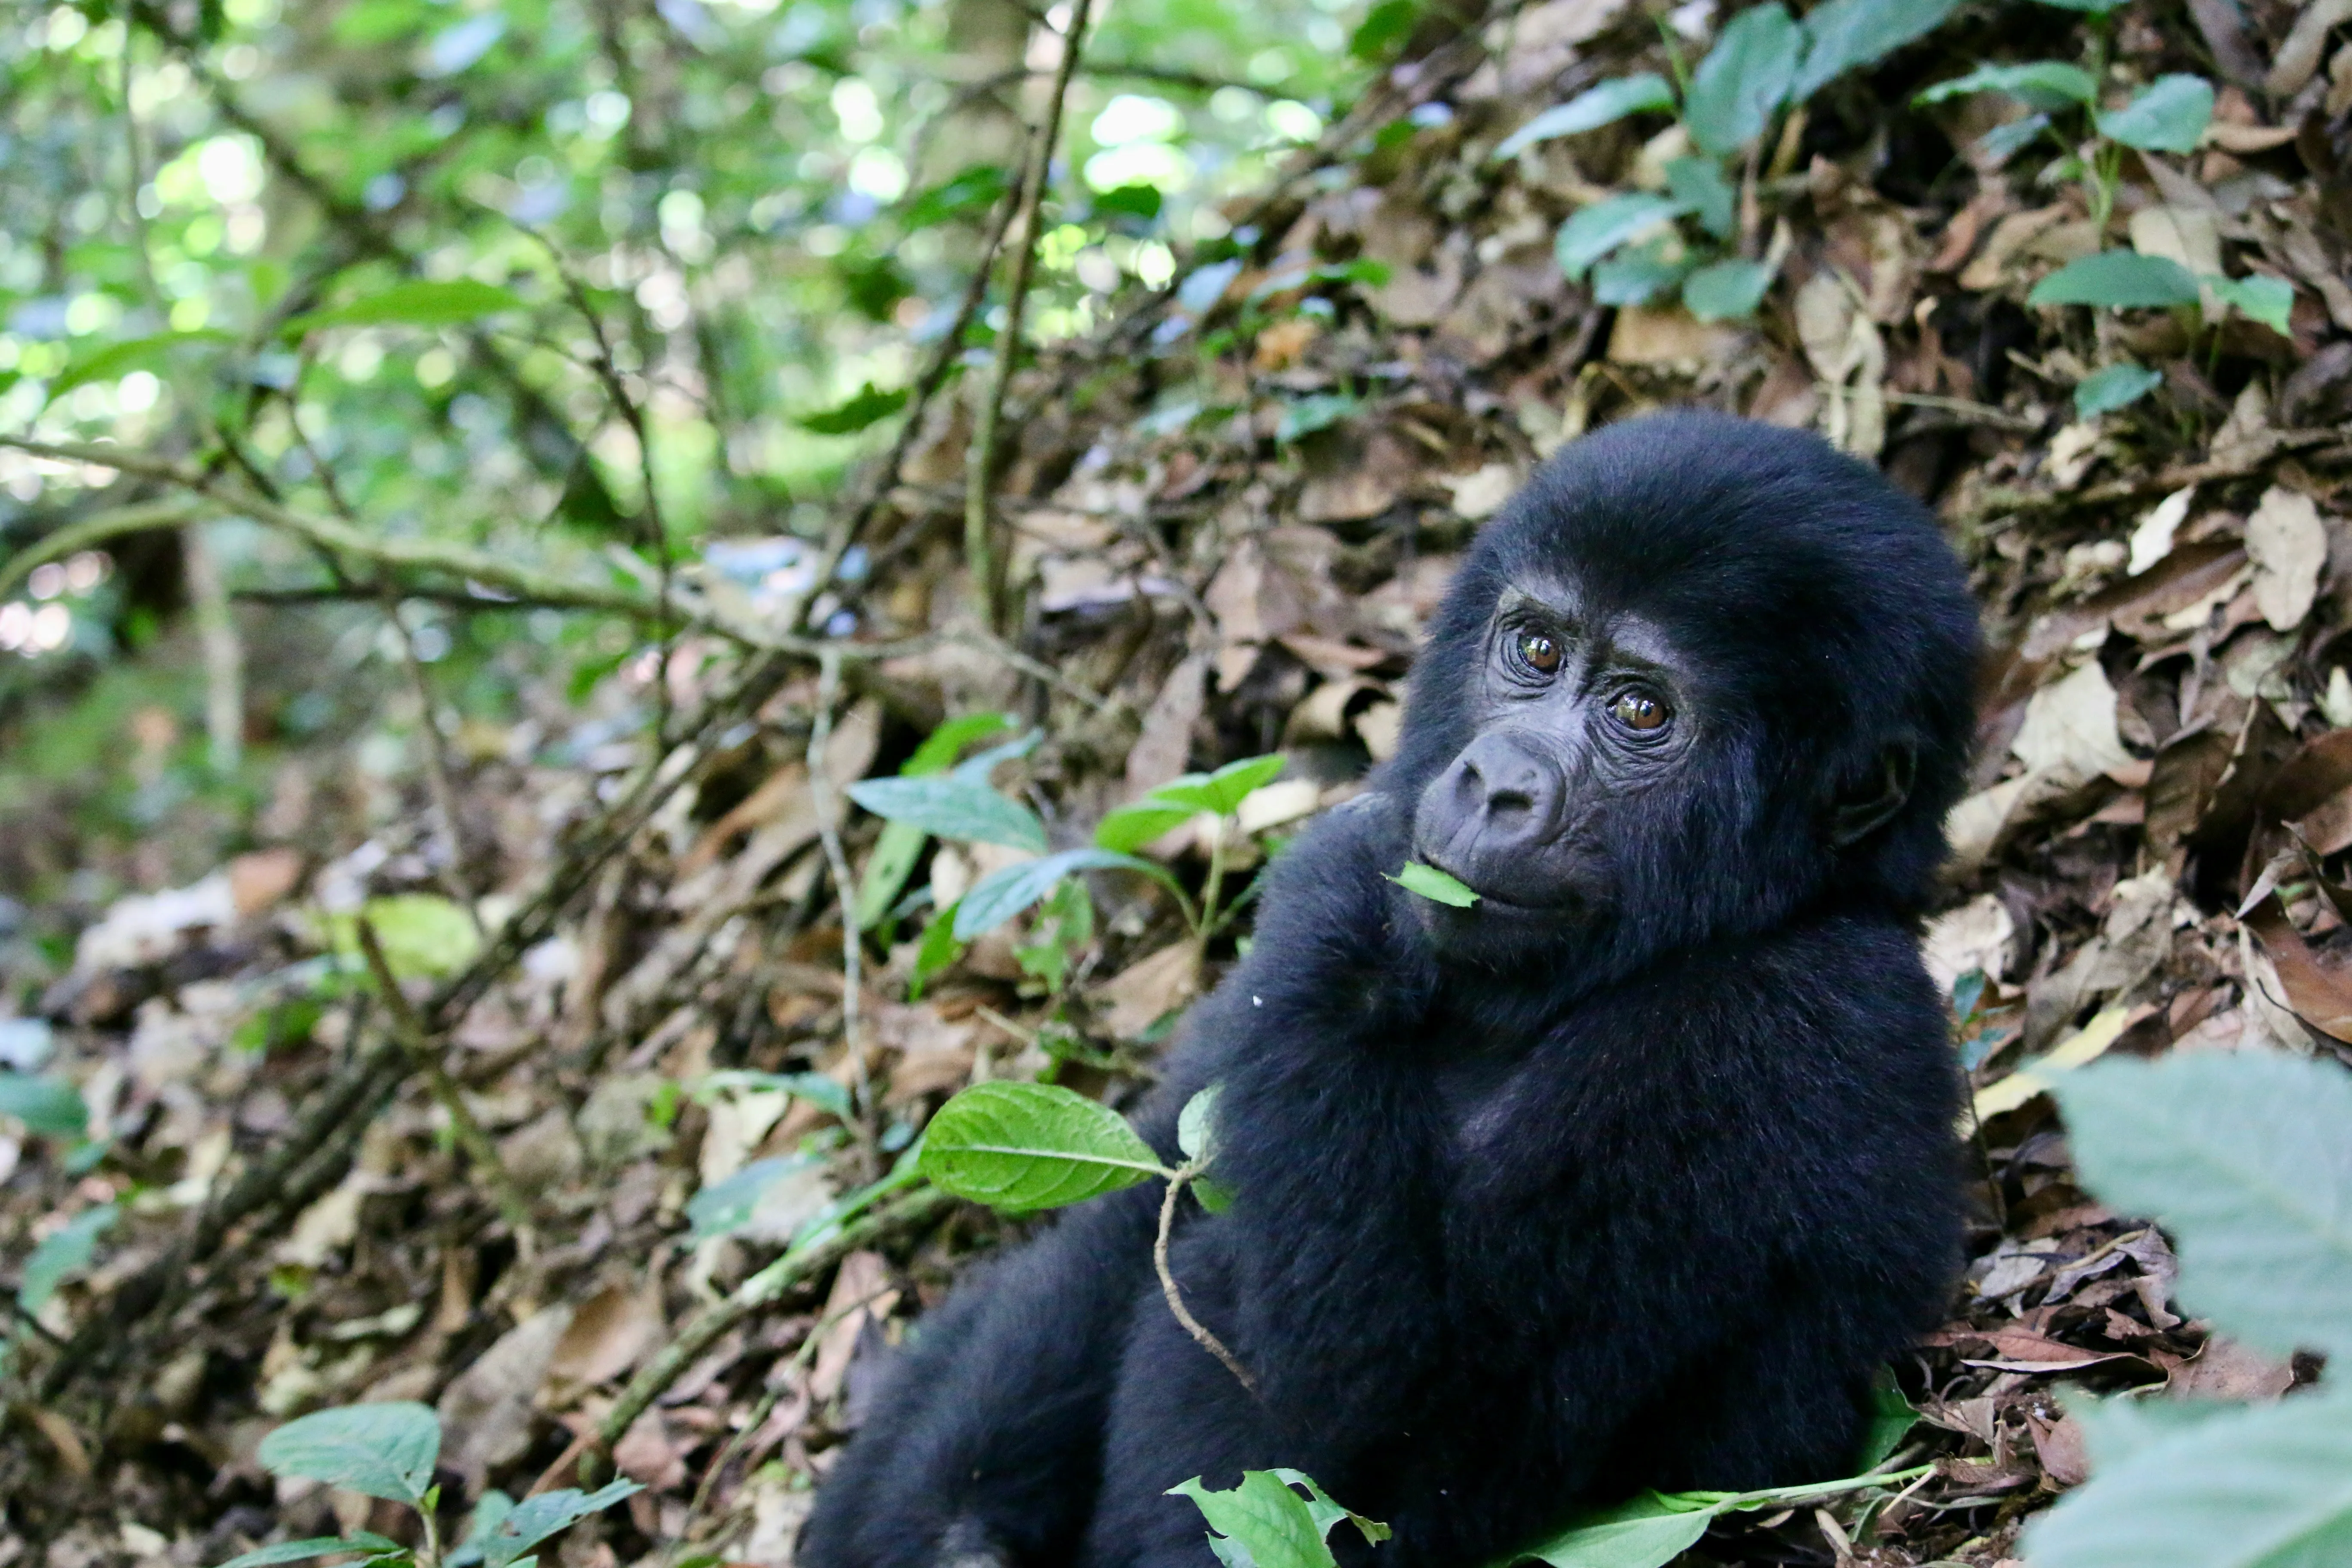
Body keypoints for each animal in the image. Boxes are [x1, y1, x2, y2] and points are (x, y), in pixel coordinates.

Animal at [799, 411, 1975, 1568]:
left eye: (1641, 710)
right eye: (1536, 649)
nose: (1494, 784)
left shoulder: (1794, 1021)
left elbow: (1396, 1435)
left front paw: (1347, 918)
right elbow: (1133, 1211)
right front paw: (945, 1529)